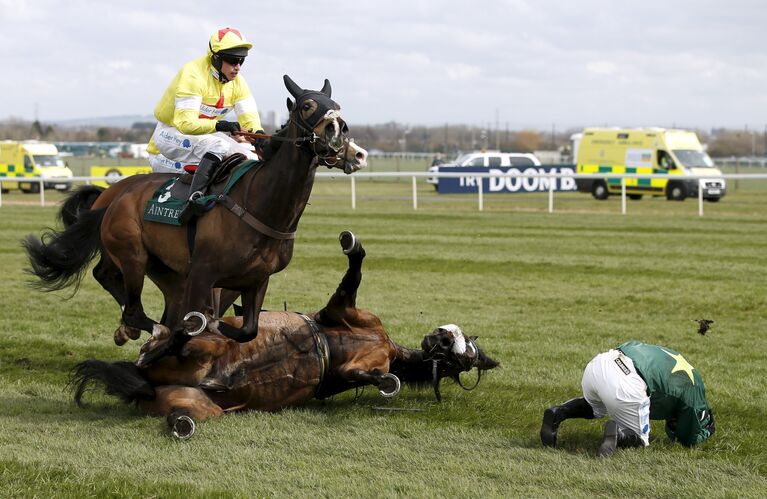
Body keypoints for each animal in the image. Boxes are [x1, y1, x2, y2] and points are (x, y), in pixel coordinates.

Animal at [24, 74, 368, 362]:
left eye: (337, 107)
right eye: (307, 105)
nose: (340, 132)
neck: (260, 204)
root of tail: (112, 198)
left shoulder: (257, 279)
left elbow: (248, 330)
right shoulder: (203, 272)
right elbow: (197, 322)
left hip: (162, 268)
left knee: (109, 278)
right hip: (133, 254)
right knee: (132, 305)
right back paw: (145, 332)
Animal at [72, 232, 500, 440]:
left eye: (467, 352)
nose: (441, 337)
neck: (389, 348)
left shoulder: (354, 366)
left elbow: (373, 377)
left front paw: (386, 382)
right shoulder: (342, 310)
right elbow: (354, 272)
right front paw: (352, 244)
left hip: (193, 401)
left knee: (180, 405)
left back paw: (182, 418)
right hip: (206, 349)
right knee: (176, 340)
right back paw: (182, 329)